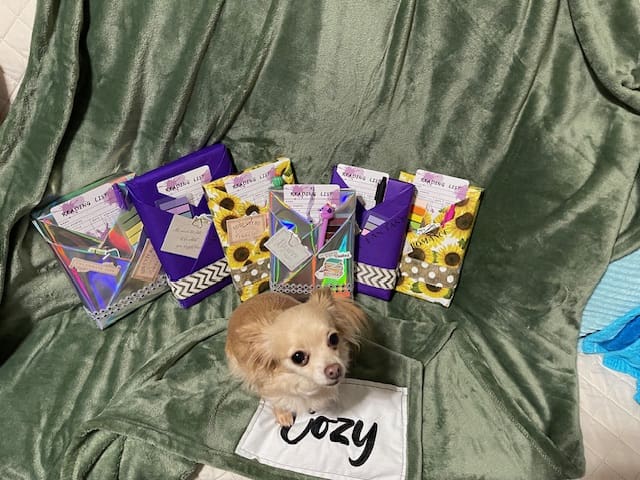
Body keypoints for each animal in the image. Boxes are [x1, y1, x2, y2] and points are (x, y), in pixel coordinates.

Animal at [225, 288, 368, 428]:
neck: (303, 381)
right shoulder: (266, 385)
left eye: (334, 338)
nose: (335, 370)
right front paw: (283, 415)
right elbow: (277, 400)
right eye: (298, 357)